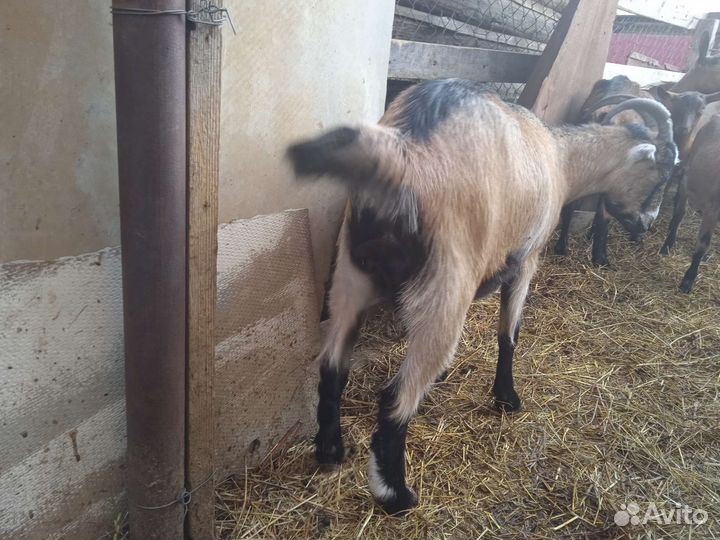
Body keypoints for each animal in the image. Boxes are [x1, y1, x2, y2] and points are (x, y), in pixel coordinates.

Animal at [287, 79, 675, 514]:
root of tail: (403, 152)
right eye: (662, 175)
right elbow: (510, 333)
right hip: (445, 283)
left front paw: (443, 380)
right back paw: (396, 493)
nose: (646, 224)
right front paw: (507, 398)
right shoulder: (525, 260)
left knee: (332, 366)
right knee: (394, 396)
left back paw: (330, 450)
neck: (559, 158)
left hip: (350, 276)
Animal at [660, 114, 720, 292]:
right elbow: (702, 243)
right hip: (687, 178)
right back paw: (667, 245)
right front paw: (688, 280)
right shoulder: (712, 210)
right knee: (679, 214)